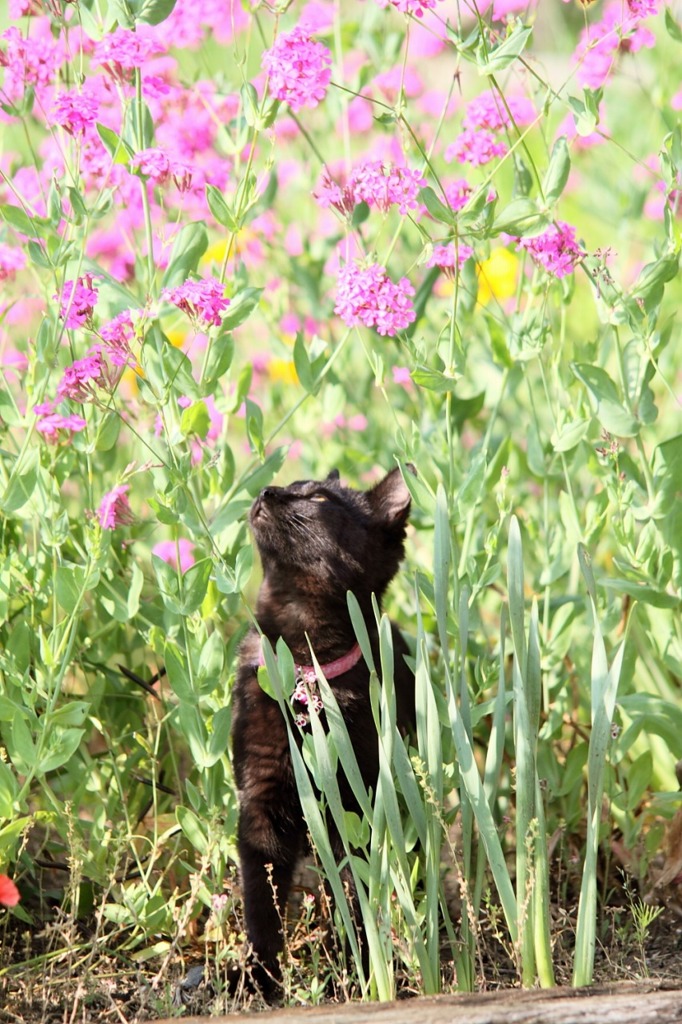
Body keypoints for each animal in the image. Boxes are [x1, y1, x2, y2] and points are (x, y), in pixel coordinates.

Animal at [229, 468, 413, 995]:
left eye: (316, 498)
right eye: (289, 484)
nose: (267, 491)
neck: (305, 669)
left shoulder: (358, 810)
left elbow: (355, 898)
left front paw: (360, 969)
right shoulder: (262, 803)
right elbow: (262, 904)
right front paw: (261, 977)